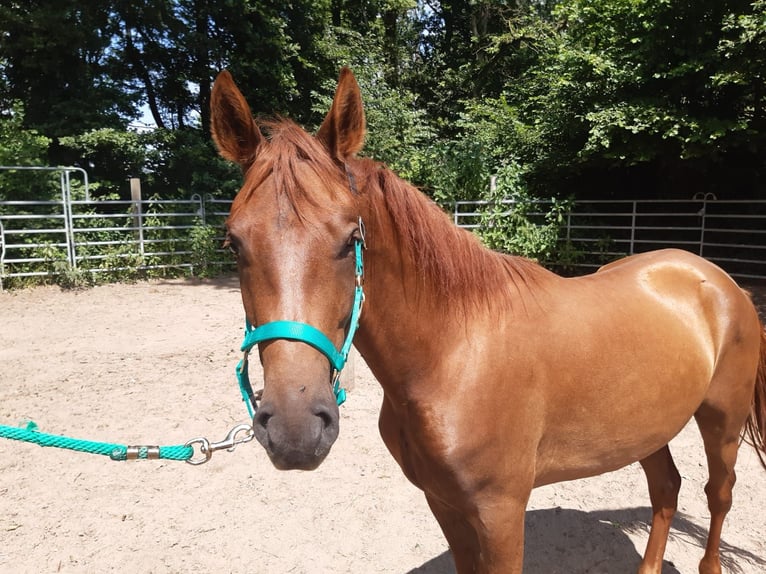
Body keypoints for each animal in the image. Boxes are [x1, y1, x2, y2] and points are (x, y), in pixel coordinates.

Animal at [209, 67, 766, 574]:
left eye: (351, 239)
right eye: (234, 242)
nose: (295, 429)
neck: (455, 356)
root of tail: (718, 280)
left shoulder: (500, 514)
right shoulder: (444, 504)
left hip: (721, 422)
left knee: (719, 494)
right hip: (649, 426)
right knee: (666, 487)